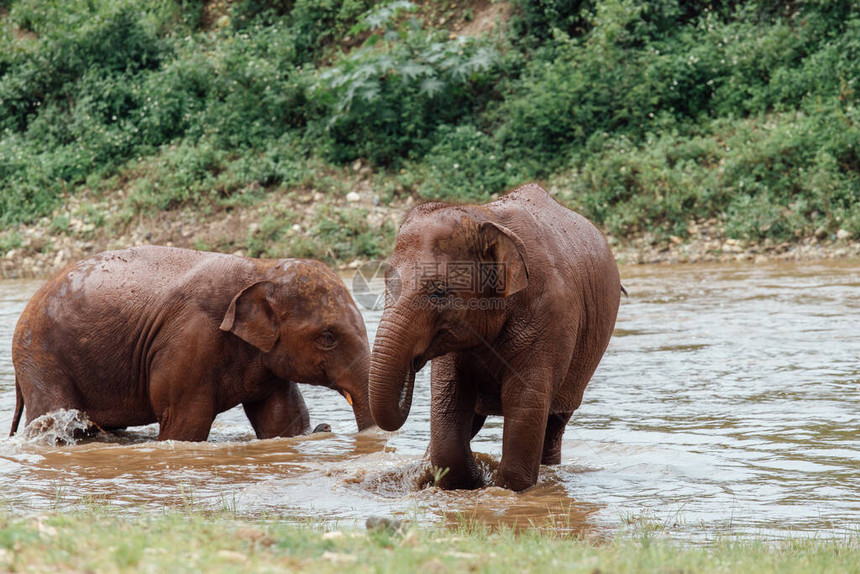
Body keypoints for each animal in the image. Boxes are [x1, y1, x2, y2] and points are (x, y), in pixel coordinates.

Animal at [10, 246, 372, 440]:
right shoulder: (188, 342)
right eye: (328, 338)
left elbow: (282, 420)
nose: (327, 427)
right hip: (41, 357)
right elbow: (186, 425)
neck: (261, 267)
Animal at [366, 182, 620, 492]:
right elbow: (449, 398)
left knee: (554, 424)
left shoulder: (552, 316)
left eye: (439, 292)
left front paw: (502, 487)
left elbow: (524, 403)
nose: (412, 364)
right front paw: (471, 479)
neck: (486, 219)